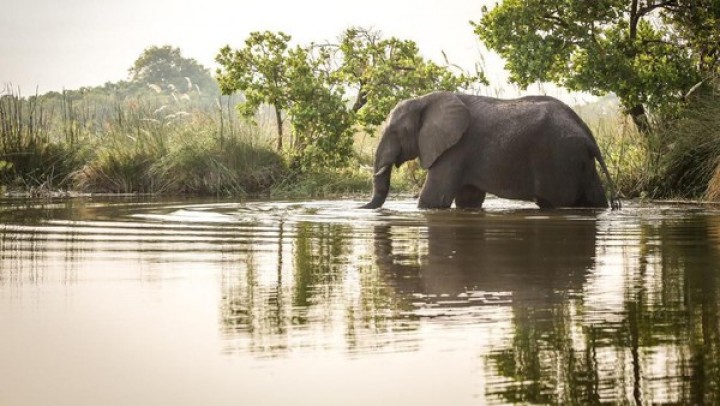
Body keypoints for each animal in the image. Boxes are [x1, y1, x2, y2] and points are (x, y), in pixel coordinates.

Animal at [362, 91, 620, 209]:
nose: (361, 208)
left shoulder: (455, 149)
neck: (425, 99)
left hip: (559, 159)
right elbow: (468, 201)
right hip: (580, 162)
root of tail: (588, 137)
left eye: (395, 132)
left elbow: (433, 199)